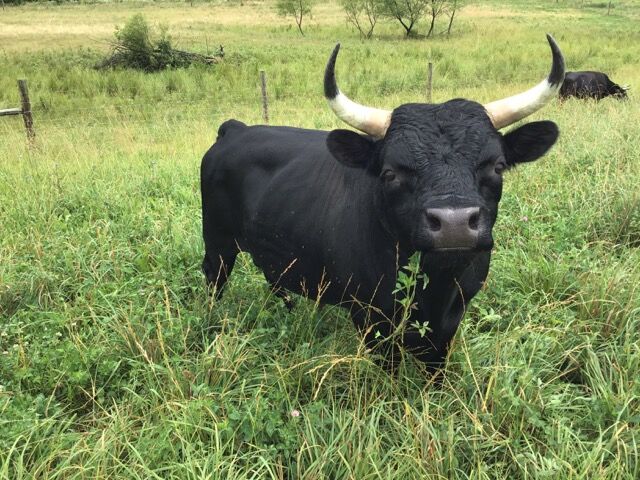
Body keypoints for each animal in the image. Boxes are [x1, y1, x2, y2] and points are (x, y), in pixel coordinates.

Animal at [200, 36, 564, 376]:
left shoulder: (454, 314)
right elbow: (390, 367)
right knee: (214, 280)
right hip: (218, 245)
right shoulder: (369, 316)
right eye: (390, 172)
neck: (435, 285)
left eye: (497, 166)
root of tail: (236, 129)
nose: (454, 224)